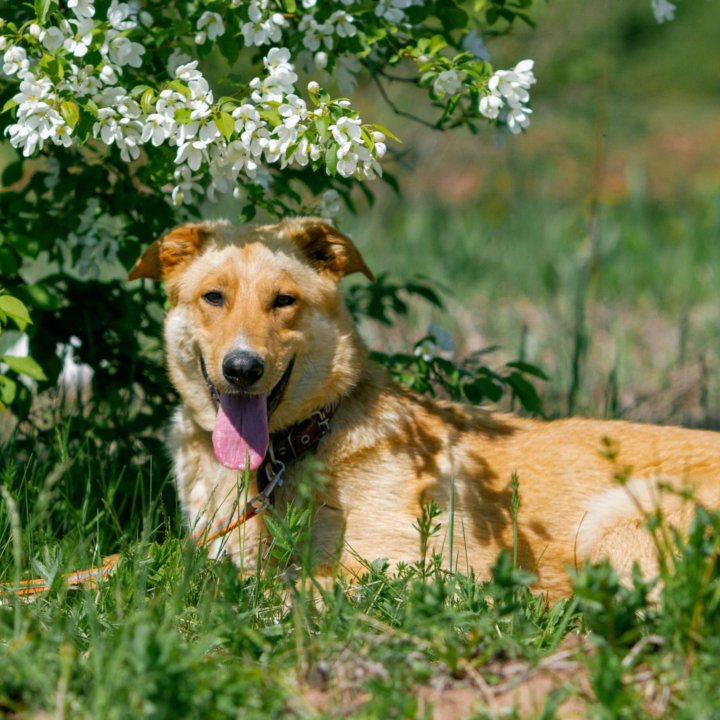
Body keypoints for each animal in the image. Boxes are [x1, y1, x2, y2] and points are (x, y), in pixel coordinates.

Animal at [129, 217, 720, 600]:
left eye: (284, 301)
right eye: (214, 297)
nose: (242, 369)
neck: (295, 445)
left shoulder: (422, 565)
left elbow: (292, 581)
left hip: (615, 515)